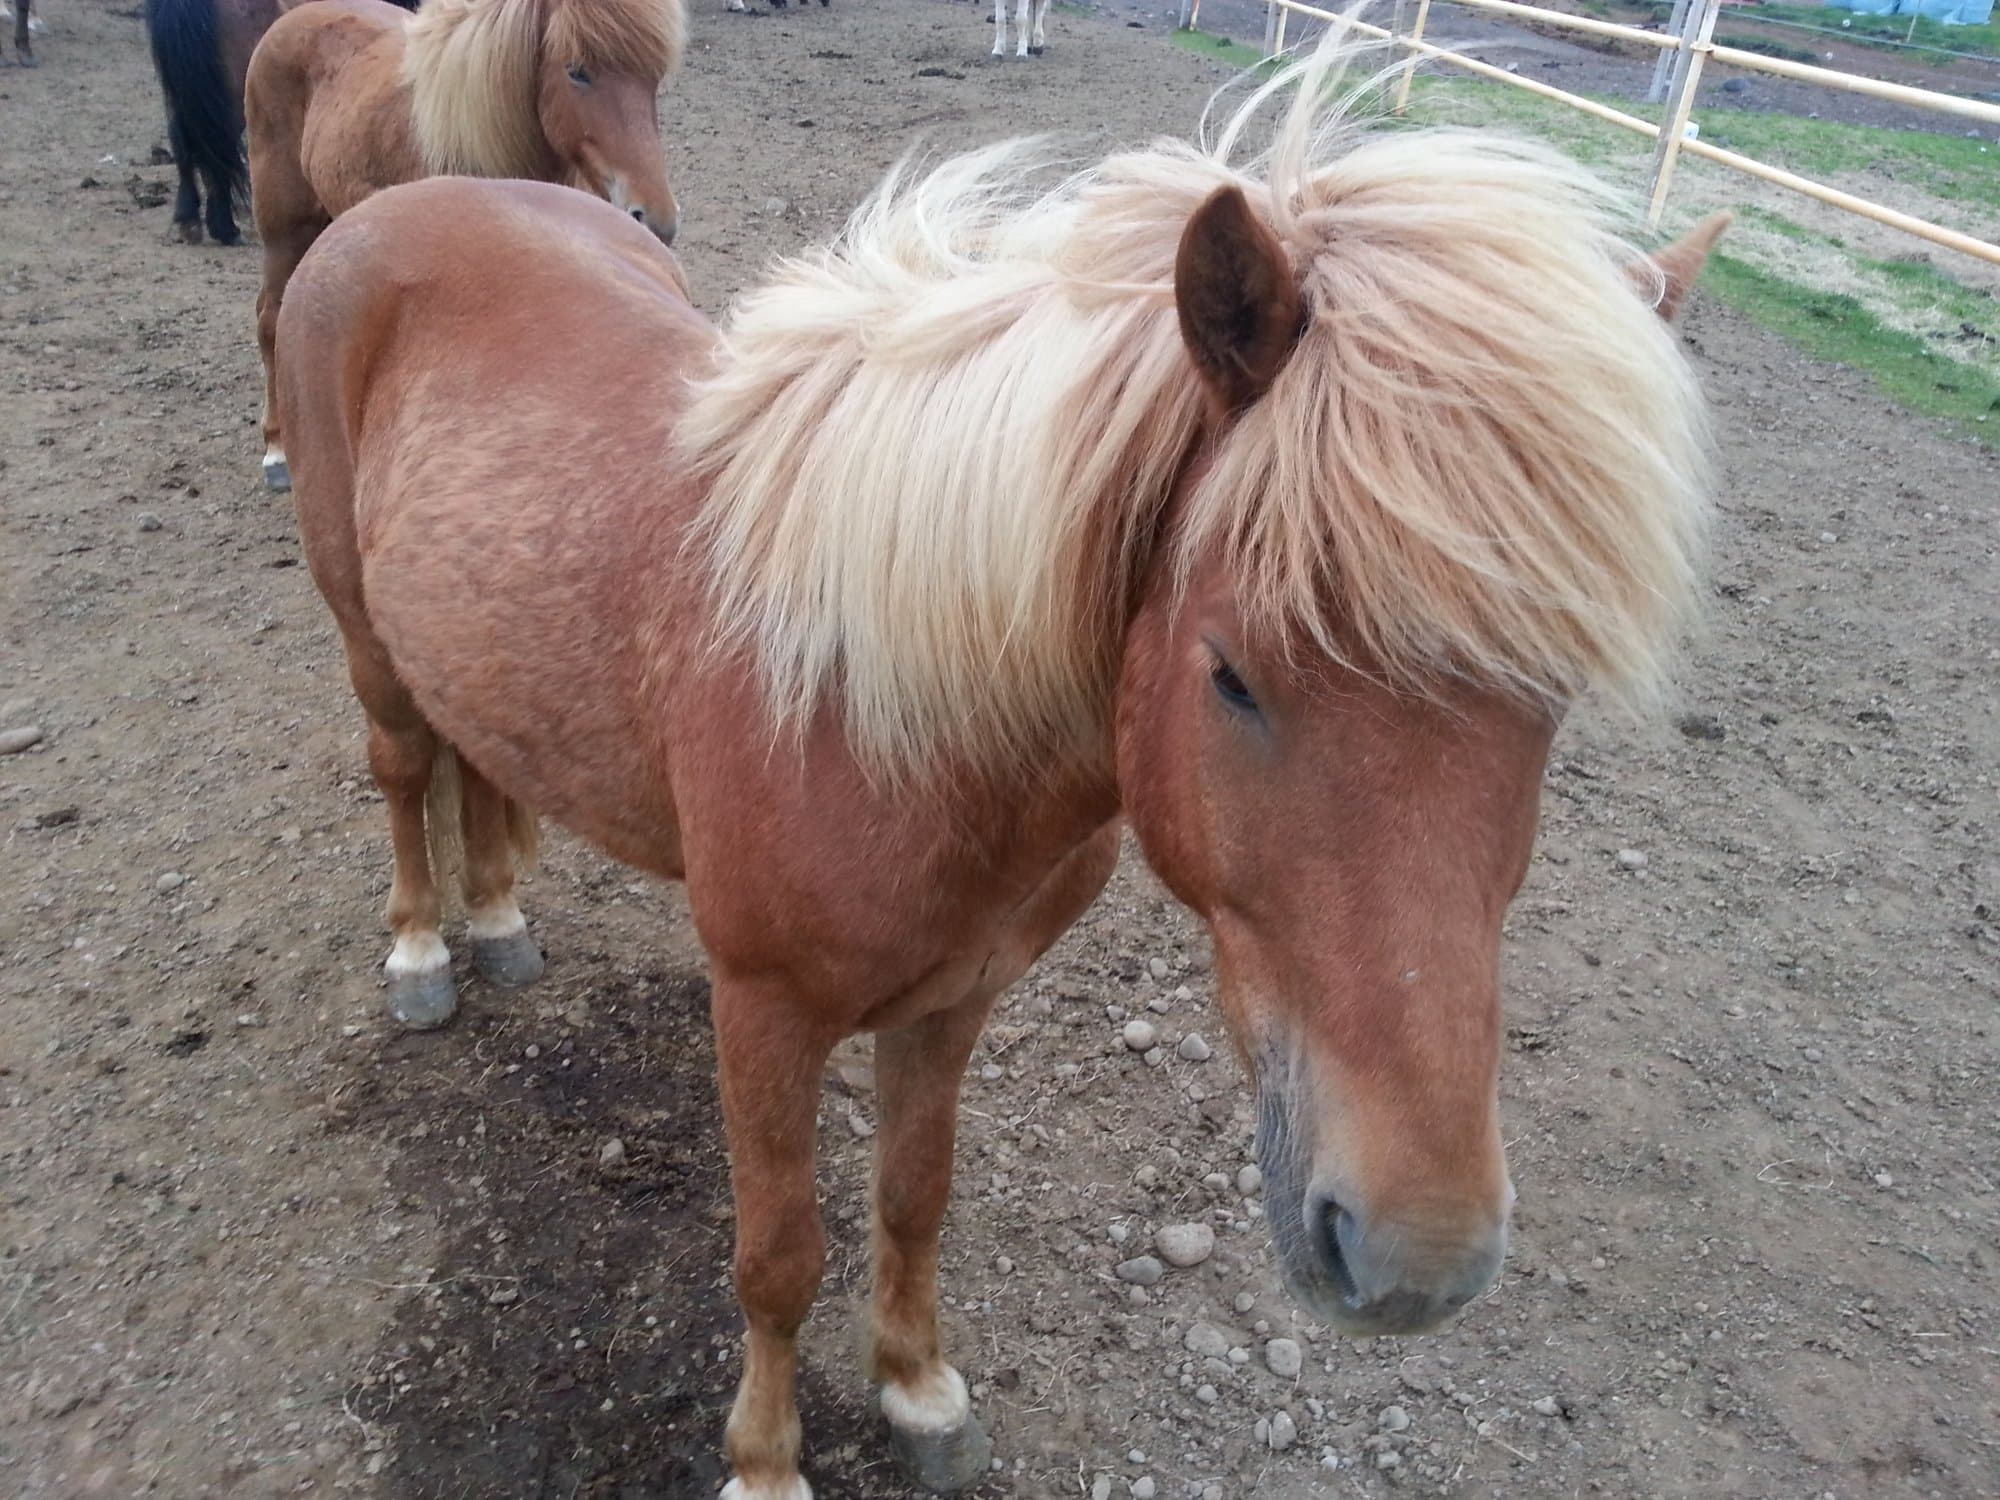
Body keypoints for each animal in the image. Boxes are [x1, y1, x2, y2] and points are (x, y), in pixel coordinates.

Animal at [245, 0, 684, 492]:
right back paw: (276, 449)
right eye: (578, 72)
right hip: (283, 229)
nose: (657, 219)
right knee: (269, 317)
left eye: (654, 78)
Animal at [273, 31, 1726, 1497]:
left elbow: (915, 1198)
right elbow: (777, 1258)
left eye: (1552, 697)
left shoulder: (954, 998)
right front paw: (765, 1461)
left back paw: (500, 919)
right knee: (403, 769)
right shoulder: (759, 1008)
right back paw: (424, 954)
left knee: (480, 765)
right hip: (363, 635)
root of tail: (415, 203)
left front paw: (919, 1393)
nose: (1418, 1257)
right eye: (1233, 673)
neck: (878, 706)